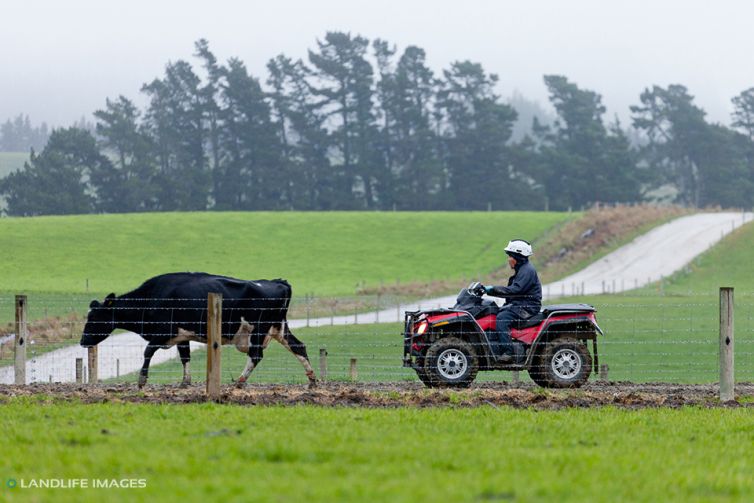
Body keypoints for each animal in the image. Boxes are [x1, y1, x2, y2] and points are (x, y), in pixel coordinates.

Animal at [81, 274, 316, 388]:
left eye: (95, 317)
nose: (83, 341)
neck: (152, 298)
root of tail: (278, 282)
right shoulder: (182, 335)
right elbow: (185, 357)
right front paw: (185, 382)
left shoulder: (163, 332)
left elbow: (147, 351)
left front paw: (142, 379)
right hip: (278, 328)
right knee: (299, 347)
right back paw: (312, 380)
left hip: (257, 330)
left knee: (255, 355)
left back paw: (240, 382)